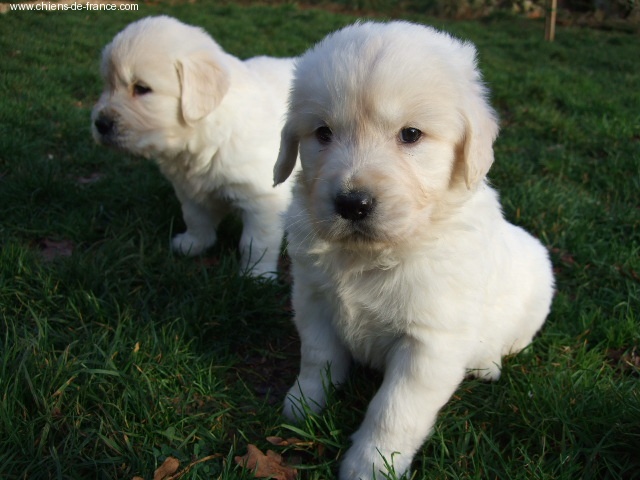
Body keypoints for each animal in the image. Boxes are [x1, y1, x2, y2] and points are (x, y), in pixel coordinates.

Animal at [92, 15, 298, 278]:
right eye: (107, 84)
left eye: (141, 88)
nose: (100, 124)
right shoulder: (188, 187)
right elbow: (195, 218)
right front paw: (192, 244)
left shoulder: (262, 197)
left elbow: (256, 242)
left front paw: (257, 274)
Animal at [276, 21, 556, 480]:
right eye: (322, 133)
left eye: (411, 135)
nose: (352, 203)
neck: (374, 253)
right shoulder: (312, 301)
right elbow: (318, 358)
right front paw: (302, 405)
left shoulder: (429, 344)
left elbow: (393, 410)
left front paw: (371, 465)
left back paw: (486, 364)